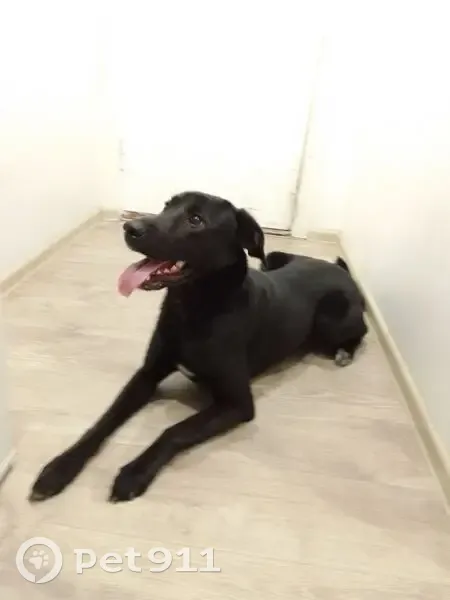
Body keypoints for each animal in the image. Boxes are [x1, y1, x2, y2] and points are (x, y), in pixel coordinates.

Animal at [29, 191, 367, 503]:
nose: (129, 227)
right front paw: (60, 467)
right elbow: (106, 418)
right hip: (274, 258)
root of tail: (342, 271)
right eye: (167, 206)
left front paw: (134, 472)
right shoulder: (147, 373)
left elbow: (174, 430)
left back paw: (345, 352)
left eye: (196, 220)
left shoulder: (237, 403)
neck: (193, 308)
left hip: (330, 318)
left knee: (361, 330)